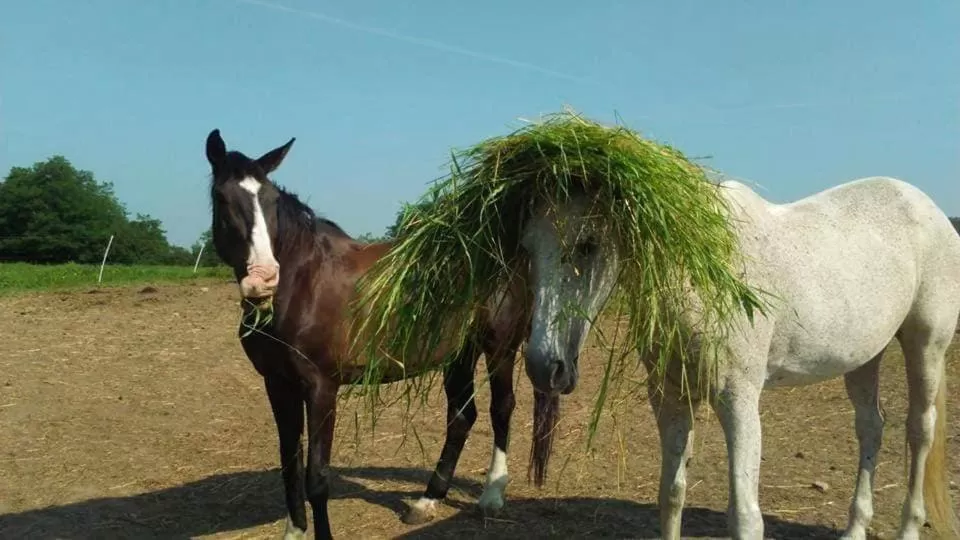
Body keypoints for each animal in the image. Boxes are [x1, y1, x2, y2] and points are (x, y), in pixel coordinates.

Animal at [203, 129, 535, 539]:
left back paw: (491, 496)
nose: (263, 278)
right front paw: (294, 531)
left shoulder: (320, 387)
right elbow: (289, 466)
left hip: (499, 346)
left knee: (501, 408)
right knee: (461, 417)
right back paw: (427, 501)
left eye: (271, 200)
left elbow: (317, 477)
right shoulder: (278, 384)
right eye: (222, 198)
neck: (302, 284)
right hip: (458, 354)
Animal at [517, 176, 960, 539]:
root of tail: (928, 208)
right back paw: (854, 529)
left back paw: (909, 526)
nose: (545, 367)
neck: (696, 273)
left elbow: (745, 517)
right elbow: (671, 494)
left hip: (926, 345)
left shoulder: (738, 400)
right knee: (871, 427)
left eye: (587, 244)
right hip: (865, 356)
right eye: (528, 248)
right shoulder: (671, 397)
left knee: (920, 430)